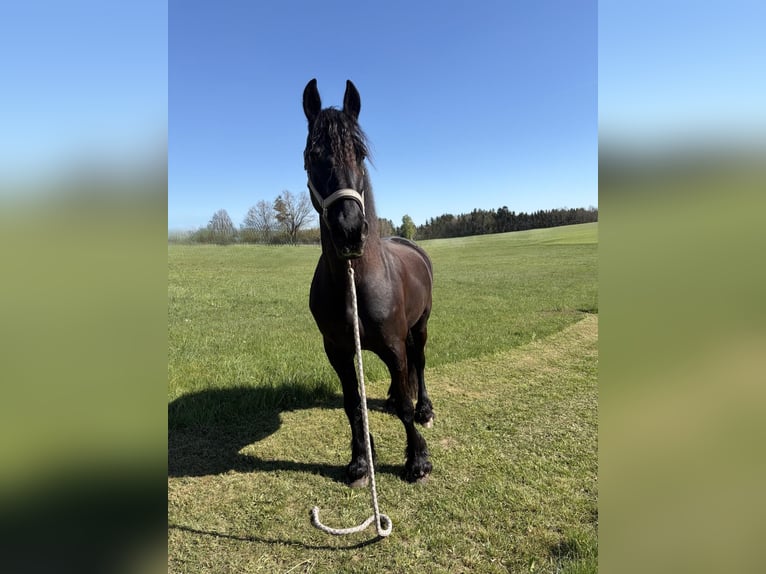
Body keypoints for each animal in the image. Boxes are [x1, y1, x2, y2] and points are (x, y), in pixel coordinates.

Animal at [303, 78, 435, 485]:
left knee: (419, 362)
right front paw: (361, 460)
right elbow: (352, 405)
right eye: (312, 155)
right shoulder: (338, 351)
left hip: (420, 326)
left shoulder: (392, 345)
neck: (356, 285)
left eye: (360, 154)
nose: (349, 231)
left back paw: (425, 407)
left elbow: (406, 405)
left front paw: (417, 460)